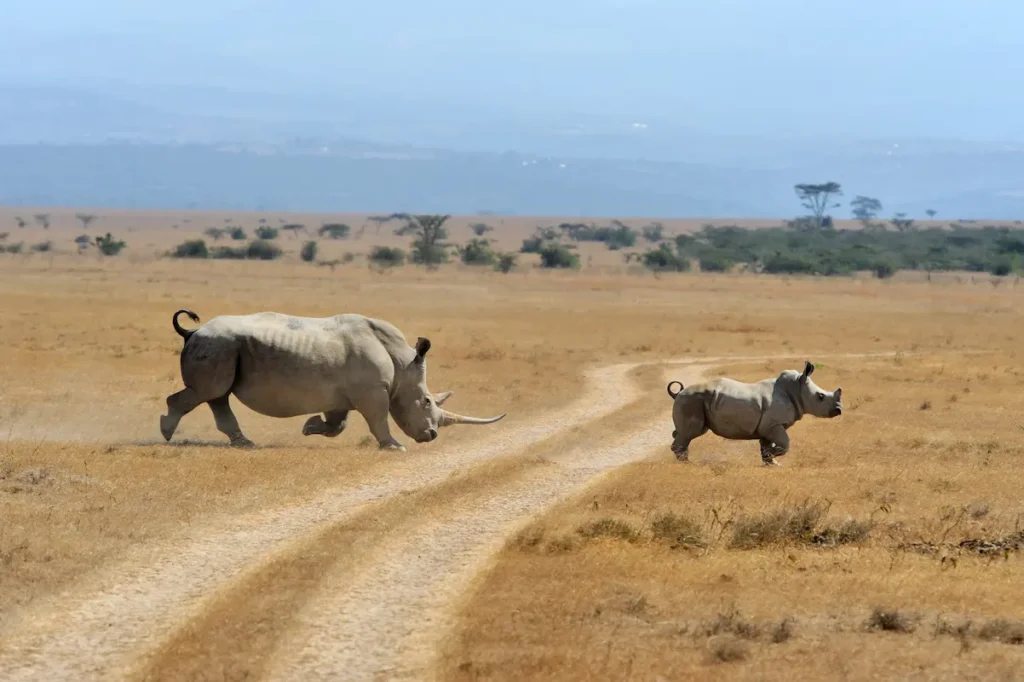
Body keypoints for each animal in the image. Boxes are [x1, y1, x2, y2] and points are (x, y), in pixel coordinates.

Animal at [160, 309, 506, 450]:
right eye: (426, 401)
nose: (432, 436)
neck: (402, 361)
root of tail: (192, 331)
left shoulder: (344, 394)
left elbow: (337, 424)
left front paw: (309, 427)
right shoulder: (373, 390)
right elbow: (378, 419)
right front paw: (394, 447)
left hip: (224, 349)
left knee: (217, 395)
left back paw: (244, 443)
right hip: (218, 346)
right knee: (208, 391)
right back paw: (166, 432)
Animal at [666, 361, 842, 466]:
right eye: (821, 397)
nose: (839, 410)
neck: (796, 390)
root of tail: (678, 393)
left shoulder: (768, 426)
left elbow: (766, 445)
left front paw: (772, 463)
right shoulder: (774, 424)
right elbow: (785, 443)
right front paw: (774, 455)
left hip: (693, 401)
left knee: (685, 432)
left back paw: (685, 460)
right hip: (691, 400)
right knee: (692, 431)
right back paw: (687, 464)